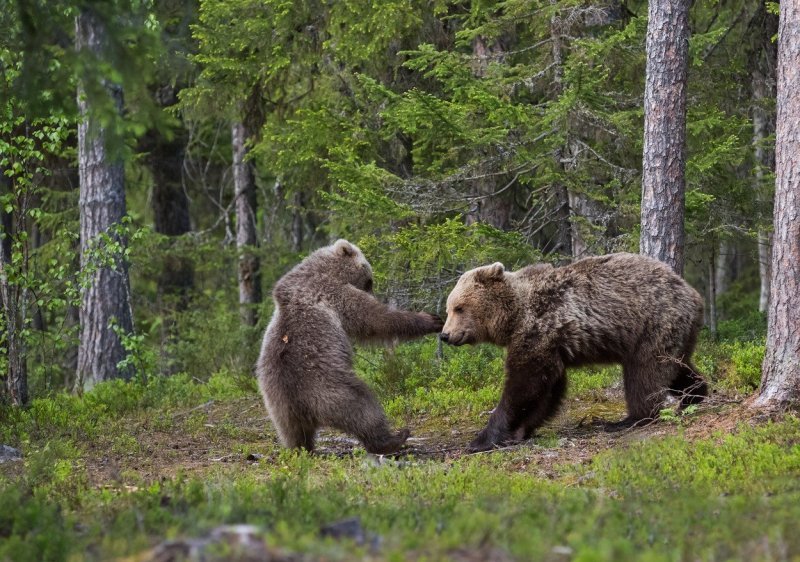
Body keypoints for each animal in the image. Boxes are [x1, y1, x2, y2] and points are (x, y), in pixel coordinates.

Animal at [258, 238, 440, 452]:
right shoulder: (334, 292)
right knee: (363, 409)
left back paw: (302, 449)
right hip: (332, 389)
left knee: (293, 433)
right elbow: (374, 318)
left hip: (277, 406)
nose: (373, 292)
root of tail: (302, 407)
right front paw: (430, 319)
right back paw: (394, 438)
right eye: (369, 280)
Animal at [440, 253, 708, 450]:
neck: (514, 317)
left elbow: (525, 385)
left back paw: (630, 419)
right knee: (676, 367)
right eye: (448, 309)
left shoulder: (539, 329)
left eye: (459, 308)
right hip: (674, 333)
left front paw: (482, 439)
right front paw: (520, 430)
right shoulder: (549, 345)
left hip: (652, 324)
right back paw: (695, 394)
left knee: (644, 372)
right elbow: (547, 389)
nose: (445, 335)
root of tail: (693, 294)